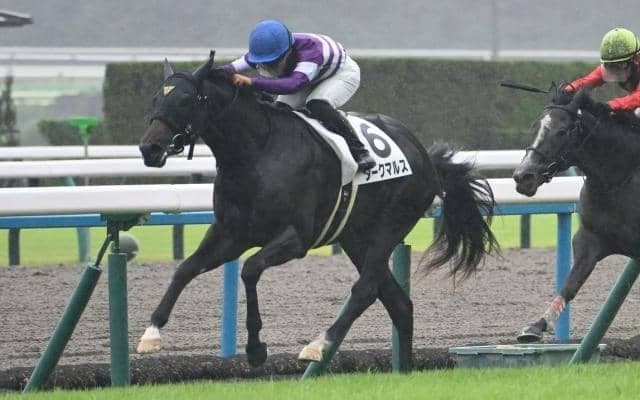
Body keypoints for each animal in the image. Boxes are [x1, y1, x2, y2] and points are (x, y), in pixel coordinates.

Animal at [137, 51, 498, 371]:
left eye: (185, 100)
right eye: (155, 98)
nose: (149, 148)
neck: (257, 151)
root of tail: (425, 156)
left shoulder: (296, 238)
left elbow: (250, 270)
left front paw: (256, 349)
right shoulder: (230, 233)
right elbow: (185, 269)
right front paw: (151, 333)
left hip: (391, 224)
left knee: (366, 289)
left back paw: (319, 344)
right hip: (356, 237)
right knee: (398, 303)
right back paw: (403, 373)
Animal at [513, 85, 640, 342]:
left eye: (562, 132)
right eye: (536, 128)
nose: (523, 177)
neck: (619, 180)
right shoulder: (590, 238)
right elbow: (570, 284)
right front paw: (534, 327)